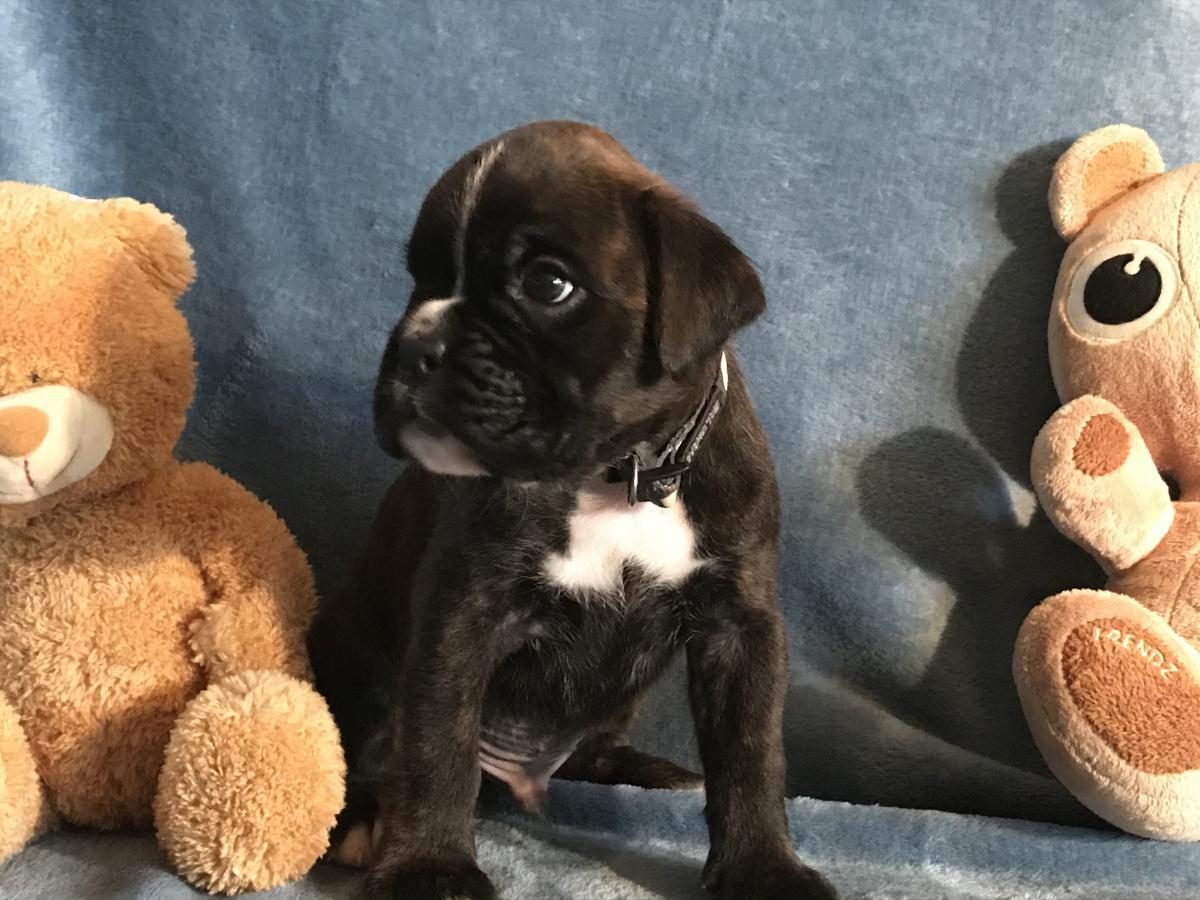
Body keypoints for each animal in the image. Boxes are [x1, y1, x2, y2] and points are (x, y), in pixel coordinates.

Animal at [310, 121, 837, 900]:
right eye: (421, 281)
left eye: (547, 284)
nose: (417, 346)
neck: (622, 471)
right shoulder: (461, 614)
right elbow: (436, 744)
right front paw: (428, 867)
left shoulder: (739, 626)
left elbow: (750, 753)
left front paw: (764, 867)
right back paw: (362, 816)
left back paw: (646, 771)